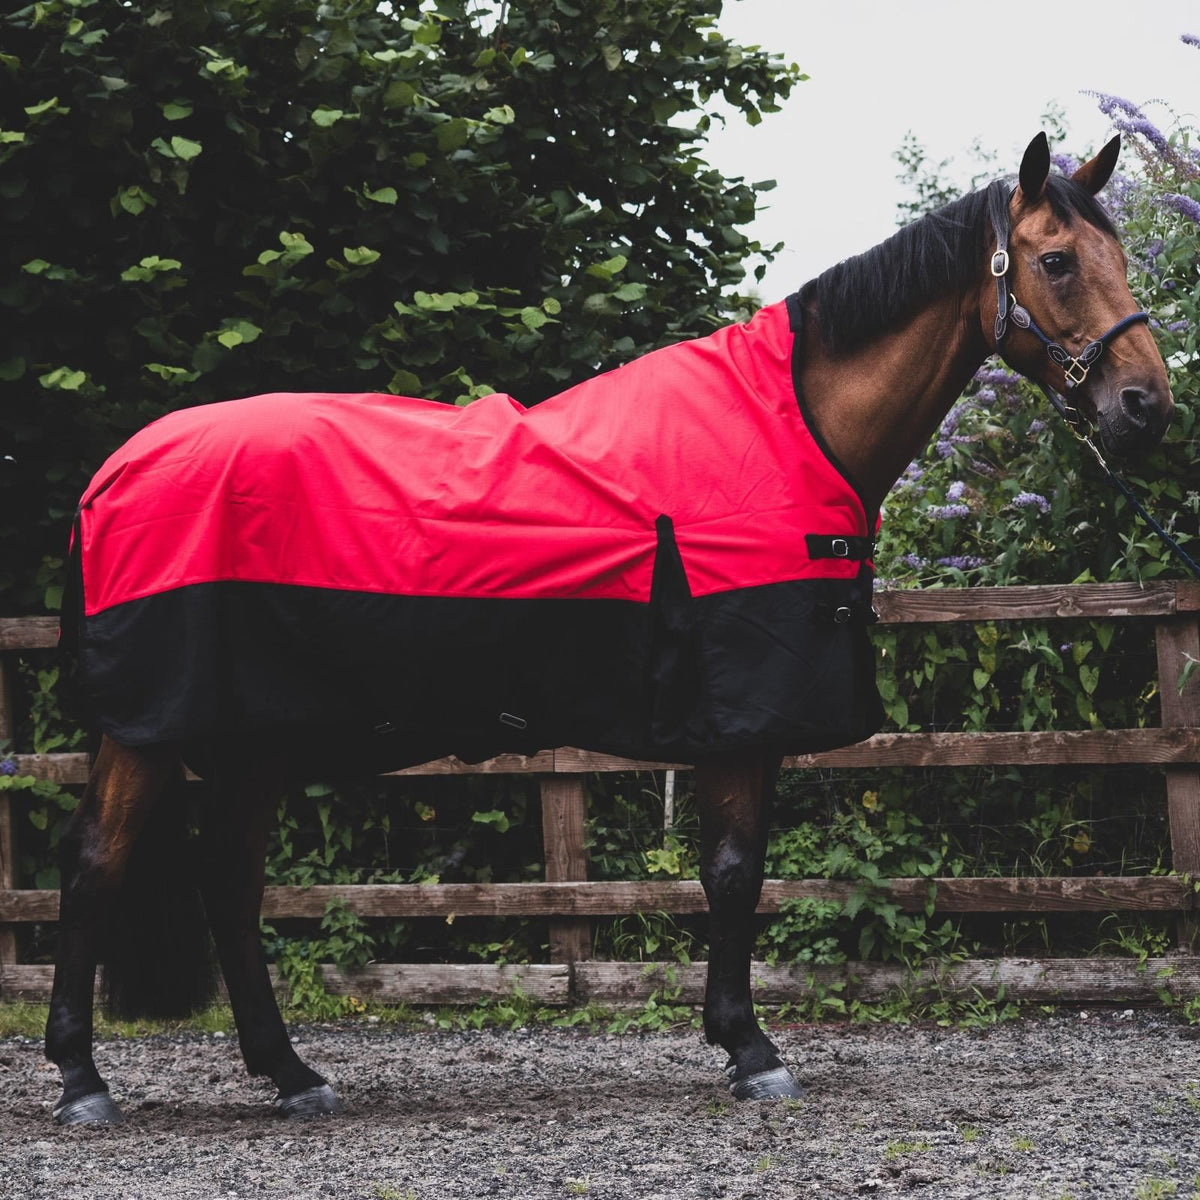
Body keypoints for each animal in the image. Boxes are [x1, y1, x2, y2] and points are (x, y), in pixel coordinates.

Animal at [45, 133, 1172, 1124]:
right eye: (1057, 261)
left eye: (1120, 254)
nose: (1146, 407)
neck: (792, 423)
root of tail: (112, 472)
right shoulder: (735, 720)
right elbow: (734, 874)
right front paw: (749, 1050)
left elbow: (736, 873)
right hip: (152, 731)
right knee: (98, 866)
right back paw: (83, 1082)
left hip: (254, 738)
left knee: (228, 886)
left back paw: (291, 1077)